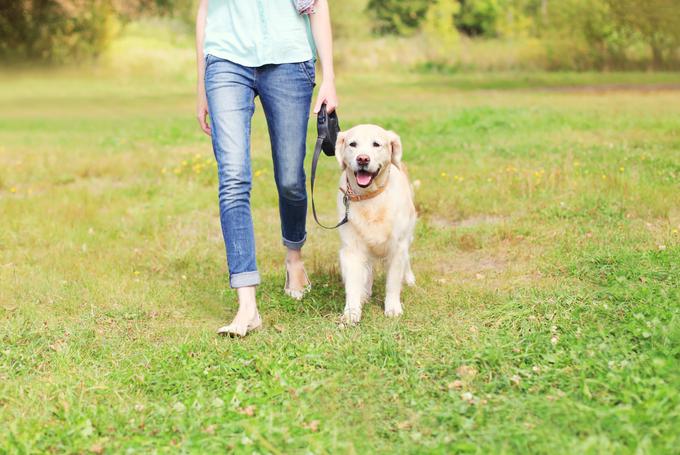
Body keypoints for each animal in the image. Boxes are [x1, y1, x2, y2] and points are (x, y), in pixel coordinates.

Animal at [334, 124, 414, 324]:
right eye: (352, 144)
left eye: (376, 144)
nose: (362, 158)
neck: (370, 198)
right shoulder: (351, 248)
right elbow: (353, 284)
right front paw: (351, 312)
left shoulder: (397, 247)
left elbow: (393, 282)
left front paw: (393, 308)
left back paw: (409, 278)